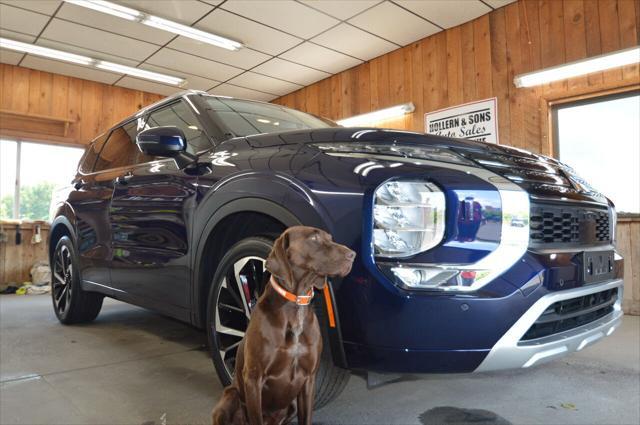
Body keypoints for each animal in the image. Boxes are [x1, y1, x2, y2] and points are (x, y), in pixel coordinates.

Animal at [211, 227, 356, 422]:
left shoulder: (309, 380)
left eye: (330, 238)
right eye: (314, 238)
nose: (352, 255)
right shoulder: (253, 378)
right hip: (230, 396)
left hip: (292, 404)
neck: (295, 306)